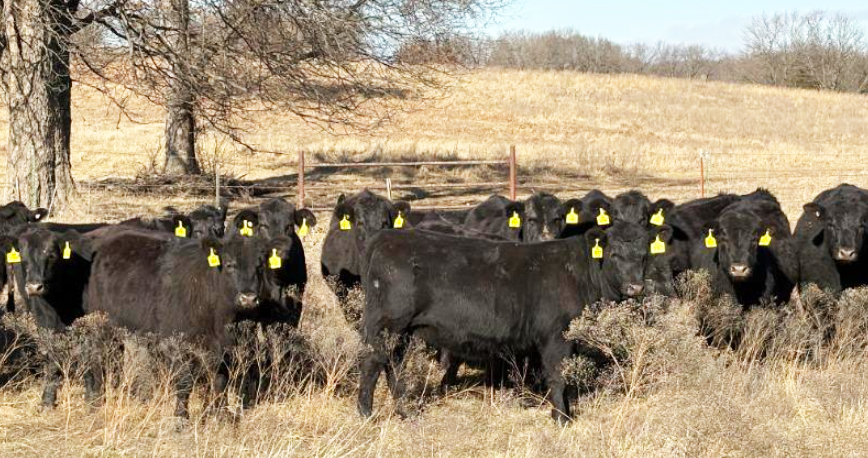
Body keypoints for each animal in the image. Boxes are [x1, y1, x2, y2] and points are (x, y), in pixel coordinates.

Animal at [84, 230, 286, 417]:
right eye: (230, 264)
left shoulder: (226, 348)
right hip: (102, 327)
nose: (248, 298)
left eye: (260, 266)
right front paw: (181, 418)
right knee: (99, 360)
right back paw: (96, 402)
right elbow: (184, 382)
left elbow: (221, 381)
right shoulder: (177, 345)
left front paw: (222, 415)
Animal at [357, 222, 656, 424]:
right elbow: (558, 376)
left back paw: (405, 412)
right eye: (614, 254)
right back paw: (366, 413)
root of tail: (385, 237)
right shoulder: (556, 337)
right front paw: (562, 417)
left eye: (644, 255)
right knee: (372, 363)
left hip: (403, 331)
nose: (635, 287)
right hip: (387, 325)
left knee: (393, 365)